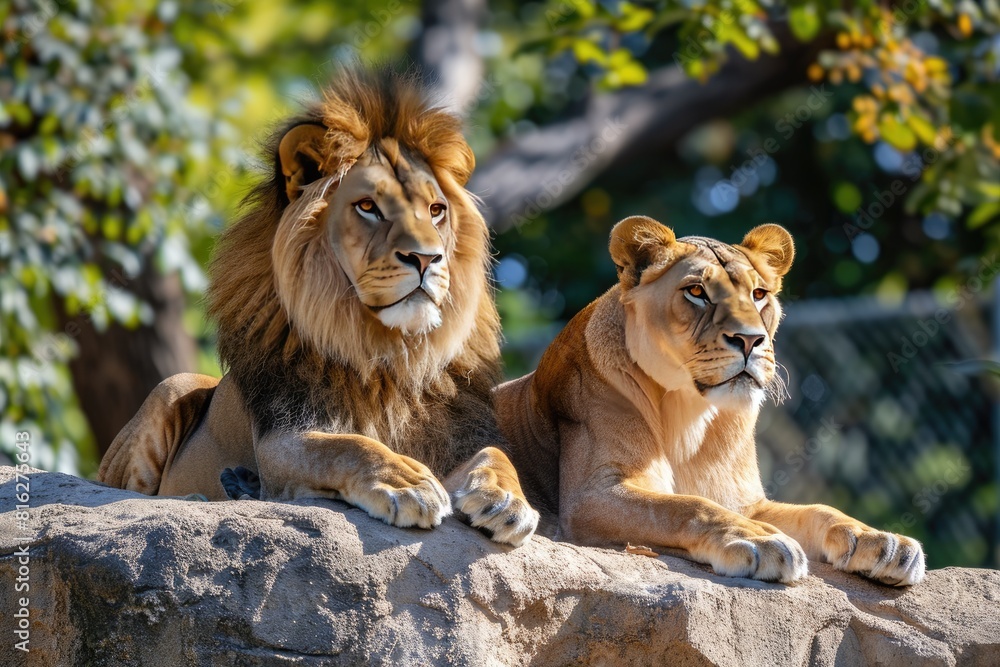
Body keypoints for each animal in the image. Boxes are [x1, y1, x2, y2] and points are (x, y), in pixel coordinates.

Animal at [98, 68, 539, 547]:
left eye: (436, 210)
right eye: (368, 207)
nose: (427, 258)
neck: (386, 354)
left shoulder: (453, 435)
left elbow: (495, 453)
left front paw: (506, 499)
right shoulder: (282, 437)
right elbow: (347, 446)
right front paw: (408, 483)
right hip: (174, 386)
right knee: (125, 497)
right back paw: (201, 498)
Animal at [494, 216, 925, 584]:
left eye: (759, 294)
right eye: (697, 292)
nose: (751, 340)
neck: (689, 411)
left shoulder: (747, 502)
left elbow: (821, 510)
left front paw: (882, 541)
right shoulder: (591, 496)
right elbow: (685, 506)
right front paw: (759, 540)